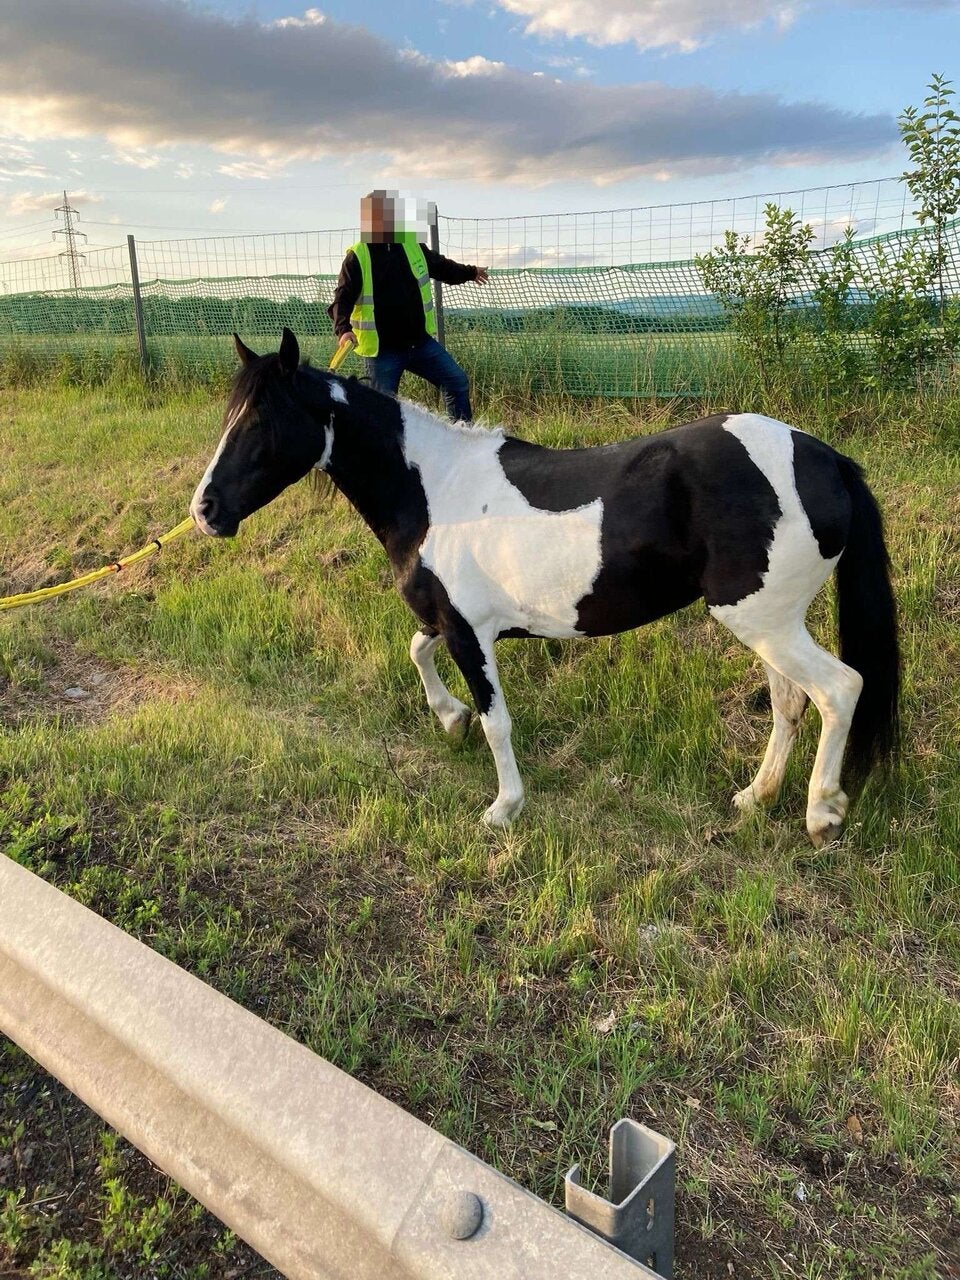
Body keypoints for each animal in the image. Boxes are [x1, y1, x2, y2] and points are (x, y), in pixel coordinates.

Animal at [190, 329, 899, 846]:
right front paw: (448, 719)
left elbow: (496, 720)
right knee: (791, 702)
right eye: (229, 416)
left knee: (840, 689)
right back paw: (756, 797)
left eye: (261, 423)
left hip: (761, 619)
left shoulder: (469, 633)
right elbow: (418, 652)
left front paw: (504, 807)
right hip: (770, 623)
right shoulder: (450, 622)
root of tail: (825, 458)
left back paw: (821, 813)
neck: (432, 490)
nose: (205, 510)